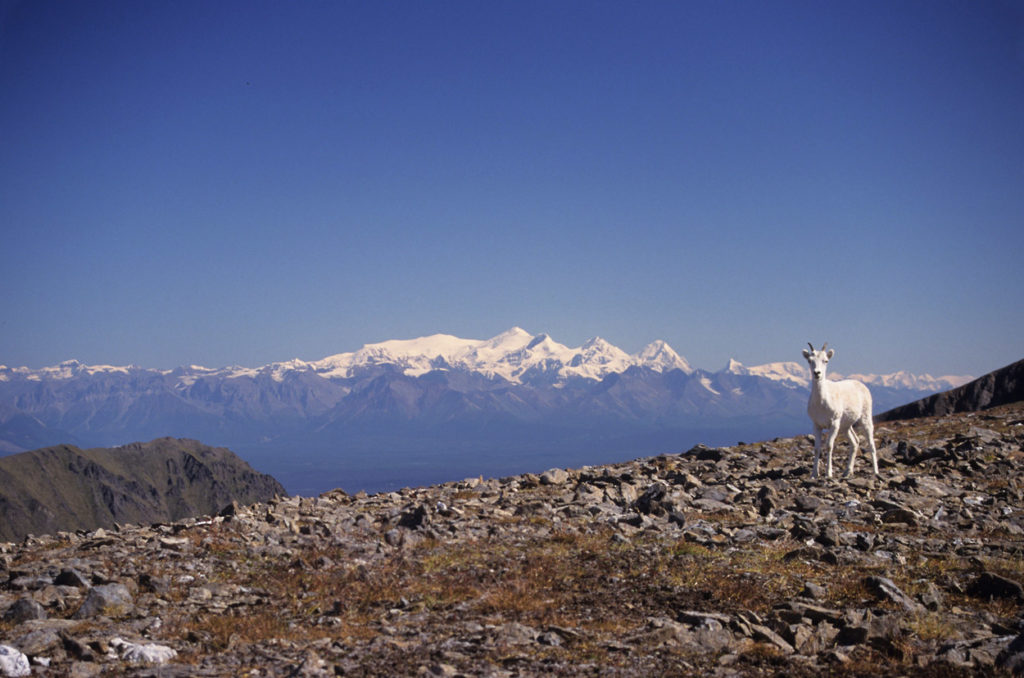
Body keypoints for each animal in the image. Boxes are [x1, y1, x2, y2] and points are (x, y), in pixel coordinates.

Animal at [798, 342, 880, 481]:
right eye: (810, 360)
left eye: (825, 360)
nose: (817, 373)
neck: (822, 403)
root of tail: (862, 386)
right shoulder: (817, 426)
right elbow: (817, 448)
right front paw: (814, 474)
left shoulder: (834, 424)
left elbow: (829, 446)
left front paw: (828, 473)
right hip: (846, 427)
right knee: (855, 442)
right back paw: (847, 472)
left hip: (865, 420)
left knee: (871, 444)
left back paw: (875, 472)